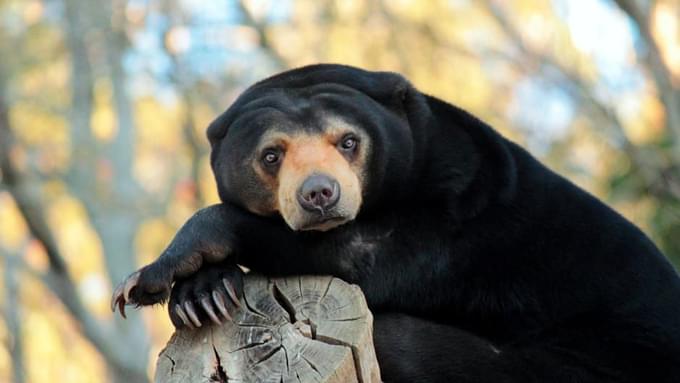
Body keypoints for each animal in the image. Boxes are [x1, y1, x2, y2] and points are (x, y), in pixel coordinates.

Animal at [110, 64, 680, 382]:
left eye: (348, 141)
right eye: (271, 155)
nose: (320, 194)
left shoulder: (462, 204)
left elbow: (372, 257)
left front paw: (150, 277)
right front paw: (201, 297)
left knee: (400, 340)